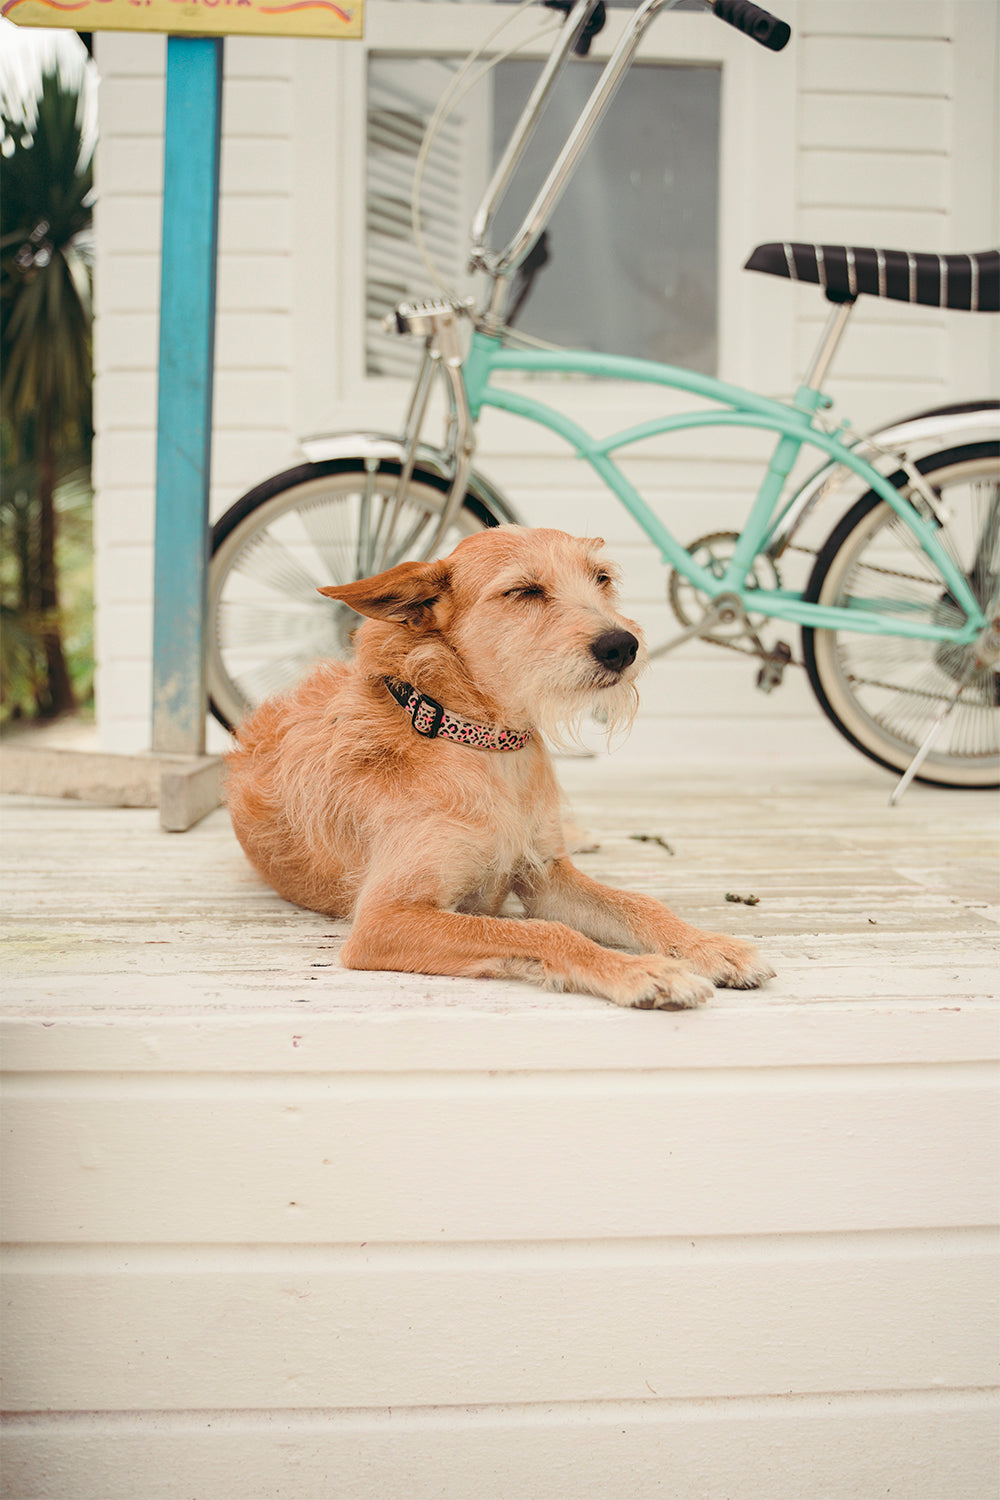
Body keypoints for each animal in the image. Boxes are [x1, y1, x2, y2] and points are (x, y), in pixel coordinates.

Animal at [226, 525, 773, 1008]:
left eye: (601, 578)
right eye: (524, 591)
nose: (622, 645)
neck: (487, 747)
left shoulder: (546, 877)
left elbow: (639, 903)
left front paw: (710, 946)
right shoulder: (385, 920)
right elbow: (545, 932)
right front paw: (642, 971)